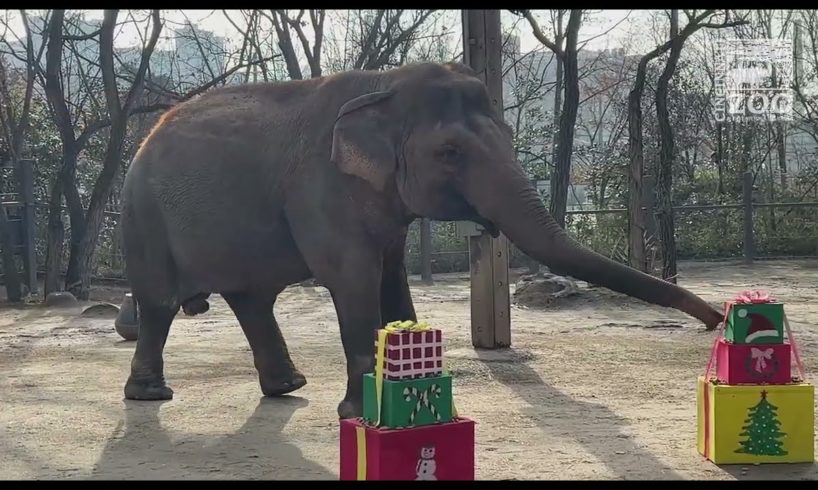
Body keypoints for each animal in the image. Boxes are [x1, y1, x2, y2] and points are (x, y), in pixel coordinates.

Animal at [121, 60, 720, 418]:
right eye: (450, 152)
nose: (717, 319)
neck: (380, 84)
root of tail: (145, 139)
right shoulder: (320, 187)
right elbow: (352, 277)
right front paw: (360, 415)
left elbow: (392, 275)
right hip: (144, 217)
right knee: (159, 303)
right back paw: (152, 394)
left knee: (252, 300)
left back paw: (289, 388)